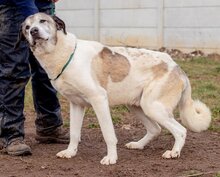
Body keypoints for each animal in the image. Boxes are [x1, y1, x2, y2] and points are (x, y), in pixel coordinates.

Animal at [16, 12, 211, 165]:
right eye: (26, 27)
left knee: (181, 130)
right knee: (156, 129)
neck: (62, 54)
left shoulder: (99, 100)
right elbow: (74, 134)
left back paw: (174, 153)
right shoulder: (76, 105)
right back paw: (138, 145)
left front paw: (111, 158)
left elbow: (108, 134)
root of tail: (177, 67)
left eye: (42, 21)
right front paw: (70, 152)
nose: (33, 31)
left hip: (153, 107)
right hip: (137, 106)